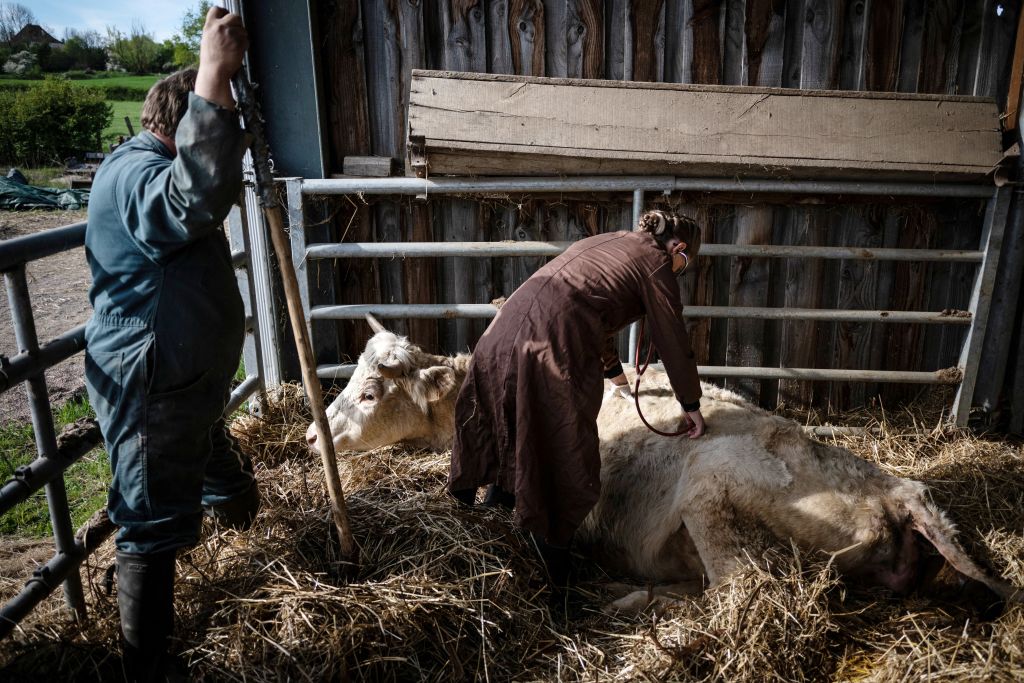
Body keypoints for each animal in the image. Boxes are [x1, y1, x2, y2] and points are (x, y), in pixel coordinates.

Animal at [307, 317, 1019, 610]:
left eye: (368, 394)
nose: (313, 436)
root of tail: (898, 495)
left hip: (710, 498)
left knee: (735, 588)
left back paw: (627, 598)